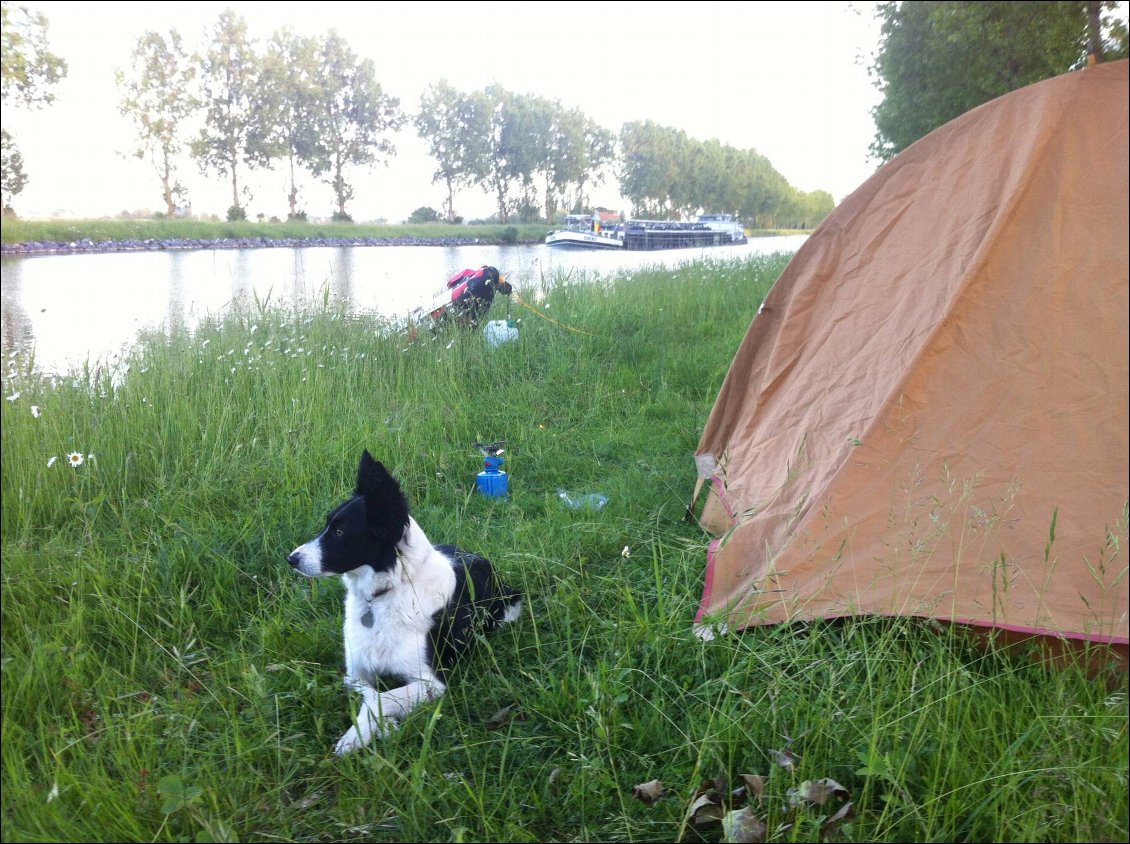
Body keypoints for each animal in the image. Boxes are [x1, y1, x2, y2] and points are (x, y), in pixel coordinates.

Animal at [289, 451, 522, 754]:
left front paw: (358, 735)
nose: (291, 559)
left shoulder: (431, 682)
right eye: (327, 525)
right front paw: (378, 727)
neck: (385, 593)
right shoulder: (354, 674)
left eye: (339, 532)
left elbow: (384, 697)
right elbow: (372, 694)